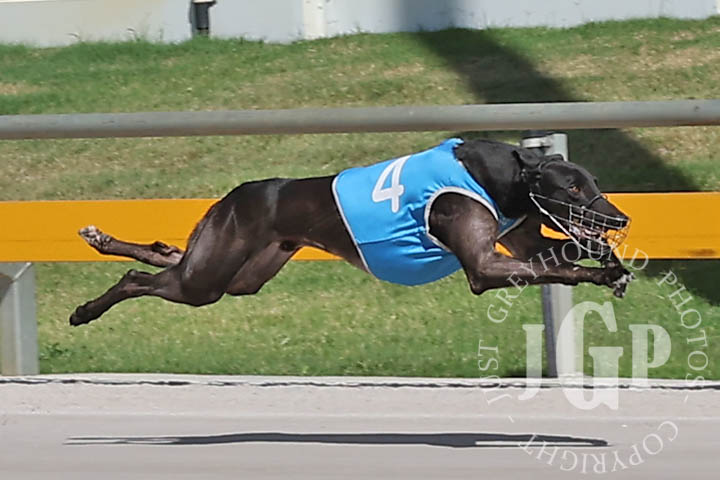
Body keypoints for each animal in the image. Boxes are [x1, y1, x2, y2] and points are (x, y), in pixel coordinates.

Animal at [69, 138, 633, 326]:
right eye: (573, 188)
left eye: (595, 181)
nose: (620, 219)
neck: (505, 175)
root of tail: (234, 195)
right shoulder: (483, 265)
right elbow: (557, 267)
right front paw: (605, 274)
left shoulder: (521, 238)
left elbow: (562, 252)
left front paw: (612, 262)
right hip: (209, 276)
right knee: (140, 281)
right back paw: (85, 310)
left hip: (240, 272)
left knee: (168, 256)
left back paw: (105, 239)